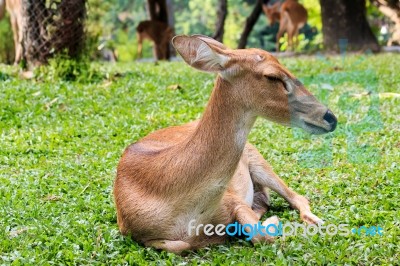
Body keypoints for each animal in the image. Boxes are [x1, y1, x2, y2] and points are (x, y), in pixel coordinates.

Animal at [114, 35, 336, 254]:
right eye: (272, 76)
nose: (331, 117)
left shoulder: (232, 199)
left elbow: (259, 234)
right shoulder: (132, 231)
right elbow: (179, 245)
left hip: (257, 158)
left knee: (297, 197)